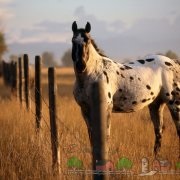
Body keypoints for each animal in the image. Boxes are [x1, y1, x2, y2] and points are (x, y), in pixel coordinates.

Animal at [71, 21, 180, 162]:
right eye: (73, 41)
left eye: (87, 40)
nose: (81, 65)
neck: (94, 74)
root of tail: (173, 61)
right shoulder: (85, 110)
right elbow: (92, 137)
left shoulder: (105, 108)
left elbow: (105, 136)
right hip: (156, 105)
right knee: (159, 131)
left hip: (174, 103)